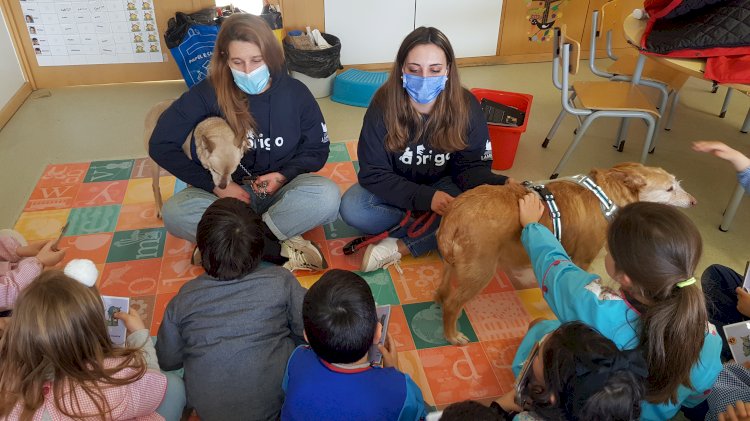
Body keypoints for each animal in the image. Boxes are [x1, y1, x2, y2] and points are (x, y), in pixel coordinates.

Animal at [434, 162, 700, 342]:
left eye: (677, 183)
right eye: (669, 189)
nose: (694, 201)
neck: (606, 196)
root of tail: (455, 213)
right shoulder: (582, 259)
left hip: (453, 264)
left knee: (445, 290)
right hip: (481, 271)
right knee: (452, 303)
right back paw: (452, 335)